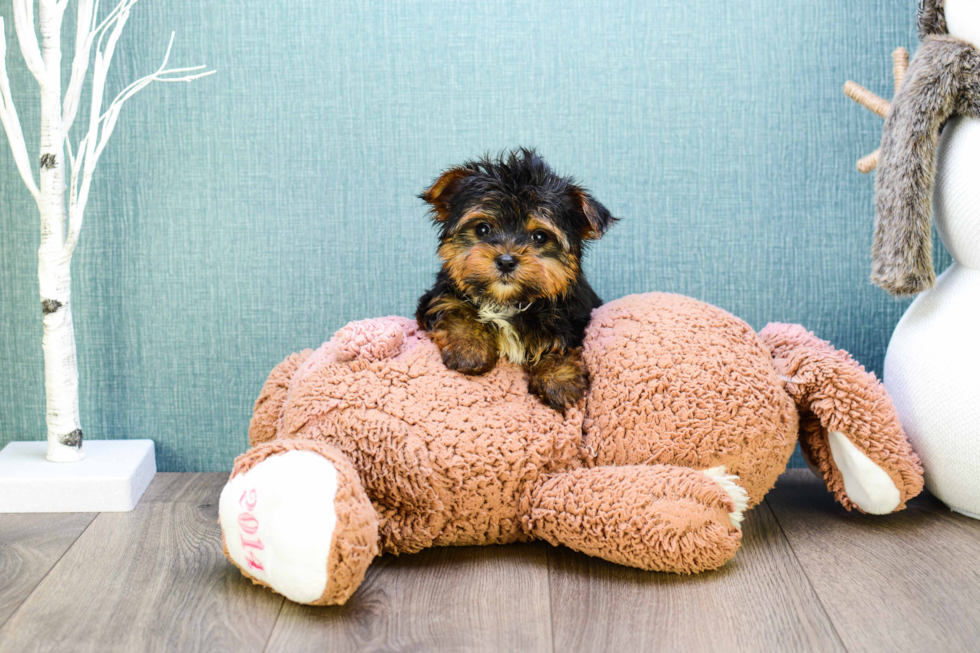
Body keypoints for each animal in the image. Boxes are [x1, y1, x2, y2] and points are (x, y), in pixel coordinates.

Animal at [418, 150, 616, 410]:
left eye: (540, 236)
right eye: (483, 229)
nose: (506, 261)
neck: (508, 301)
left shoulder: (574, 313)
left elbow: (561, 341)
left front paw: (559, 380)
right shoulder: (438, 294)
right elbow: (455, 308)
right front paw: (470, 349)